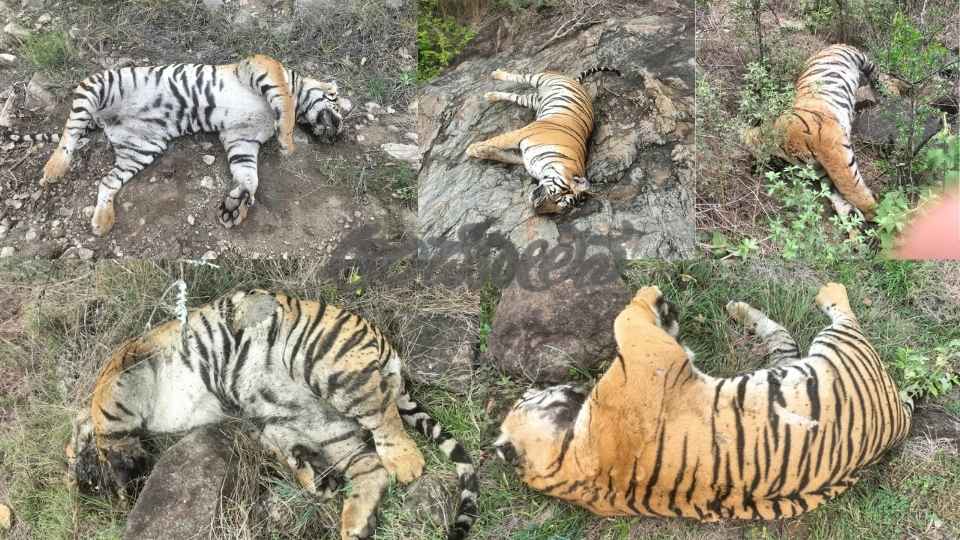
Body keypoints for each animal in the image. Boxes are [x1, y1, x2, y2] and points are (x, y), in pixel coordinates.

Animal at [39, 54, 352, 236]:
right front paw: (288, 142)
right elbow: (283, 102)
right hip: (102, 84)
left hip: (141, 149)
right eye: (338, 104)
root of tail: (104, 121)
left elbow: (248, 175)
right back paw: (54, 169)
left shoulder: (242, 139)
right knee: (71, 128)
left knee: (107, 182)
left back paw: (102, 222)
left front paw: (236, 207)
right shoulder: (262, 65)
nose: (339, 134)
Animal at [65, 289, 478, 540]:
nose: (74, 482)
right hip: (316, 423)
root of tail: (382, 339)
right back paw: (348, 516)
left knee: (383, 414)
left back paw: (405, 463)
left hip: (327, 365)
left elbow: (103, 413)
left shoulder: (124, 365)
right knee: (368, 467)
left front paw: (114, 471)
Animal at [465, 66, 620, 215]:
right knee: (520, 77)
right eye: (555, 195)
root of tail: (577, 83)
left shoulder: (522, 158)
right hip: (540, 78)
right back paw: (496, 75)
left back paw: (491, 96)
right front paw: (471, 149)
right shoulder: (521, 134)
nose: (536, 208)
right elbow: (498, 141)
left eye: (558, 209)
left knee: (515, 96)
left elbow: (501, 155)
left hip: (532, 101)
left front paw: (481, 151)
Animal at [494, 282, 912, 520]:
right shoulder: (652, 357)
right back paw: (828, 288)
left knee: (782, 338)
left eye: (527, 395)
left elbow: (639, 322)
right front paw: (650, 294)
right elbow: (626, 318)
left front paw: (664, 309)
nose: (562, 385)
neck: (568, 467)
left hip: (792, 363)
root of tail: (897, 419)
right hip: (839, 349)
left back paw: (737, 308)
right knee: (843, 315)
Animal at [742, 44, 884, 220]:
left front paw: (873, 211)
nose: (753, 169)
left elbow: (848, 185)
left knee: (875, 69)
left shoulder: (832, 150)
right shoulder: (819, 169)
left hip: (858, 57)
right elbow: (834, 191)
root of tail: (827, 47)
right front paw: (852, 218)